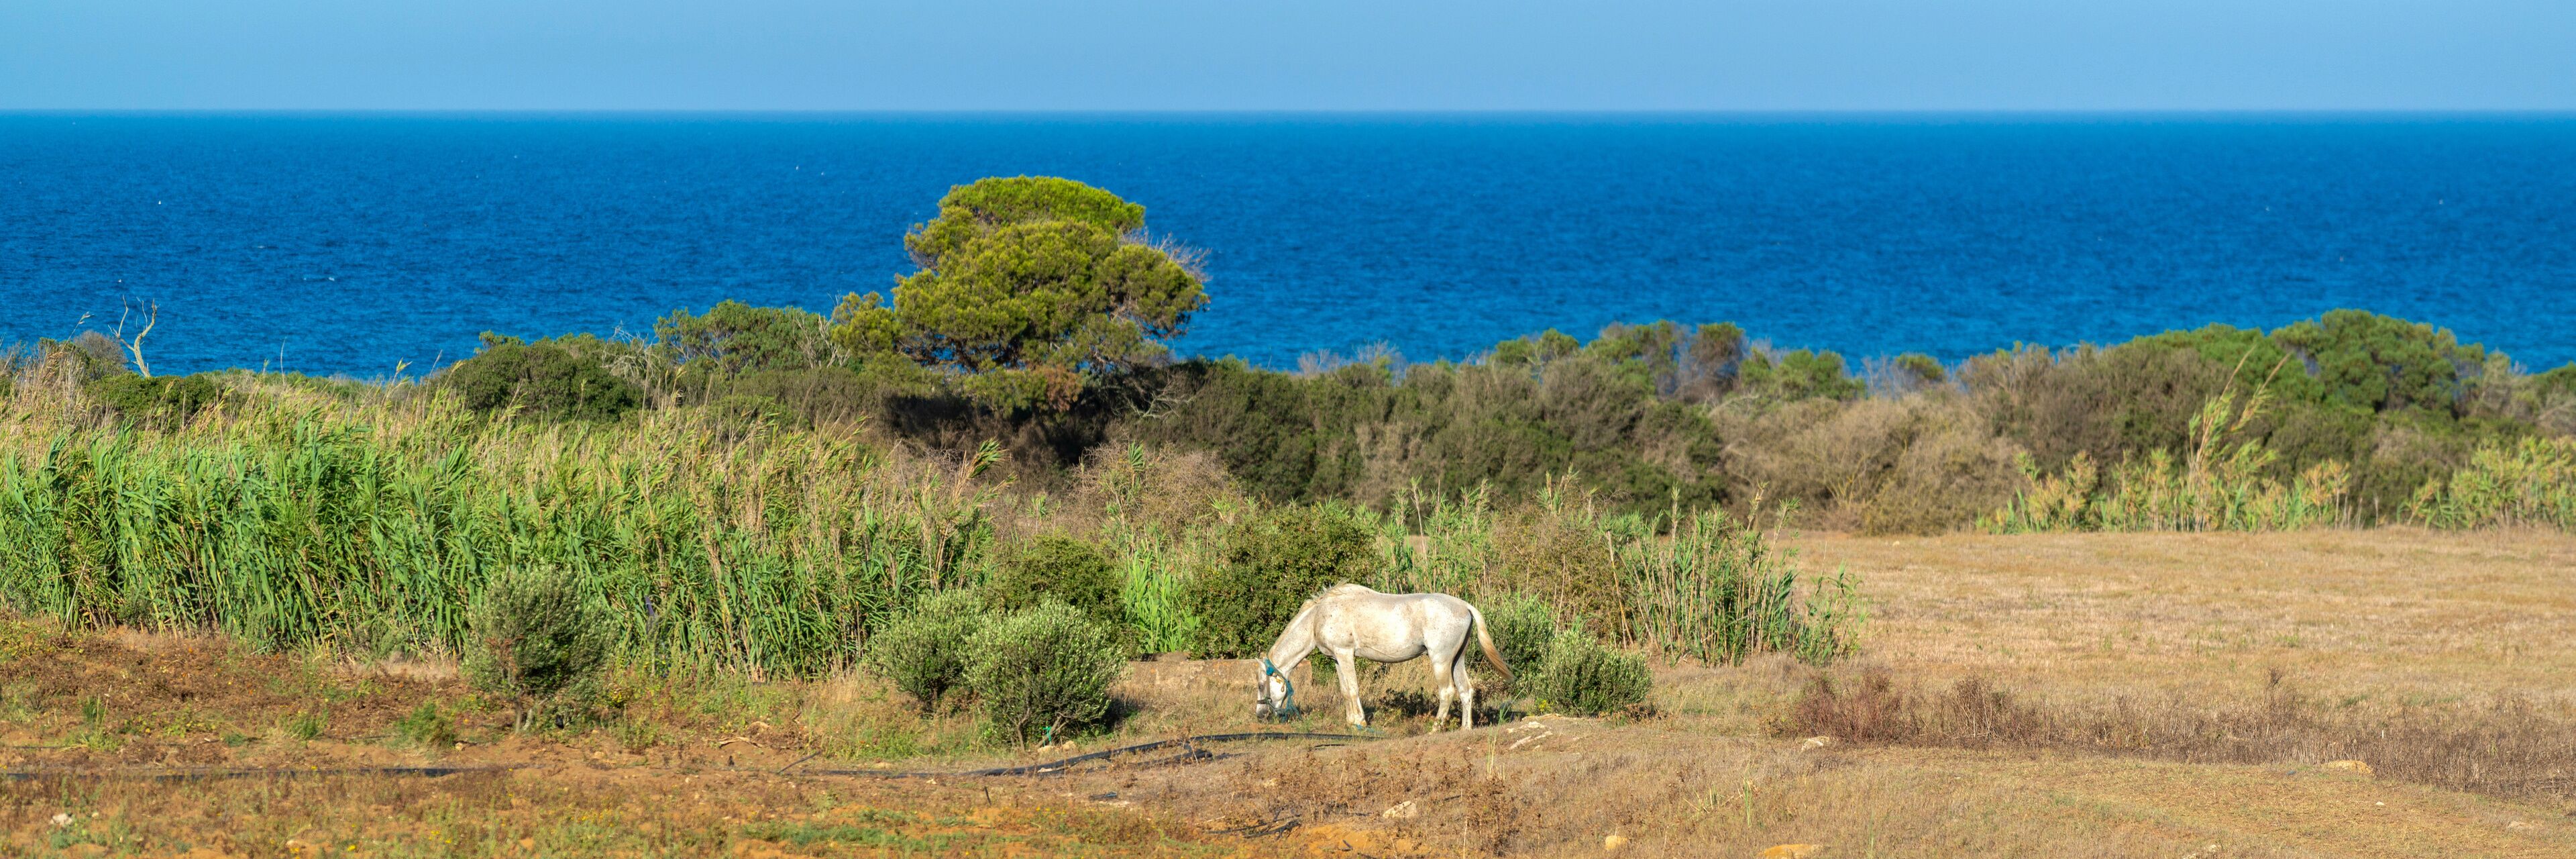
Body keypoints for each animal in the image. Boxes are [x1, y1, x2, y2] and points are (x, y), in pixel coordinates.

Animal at [1252, 584, 1512, 730]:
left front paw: (1361, 722)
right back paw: (1466, 728)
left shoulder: (1346, 654)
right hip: (1458, 660)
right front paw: (1351, 723)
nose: (1260, 715)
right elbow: (1345, 691)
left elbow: (1353, 689)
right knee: (1466, 690)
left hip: (1441, 660)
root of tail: (1465, 606)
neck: (1318, 617)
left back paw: (1436, 728)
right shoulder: (1337, 659)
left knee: (1447, 692)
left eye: (1260, 685)